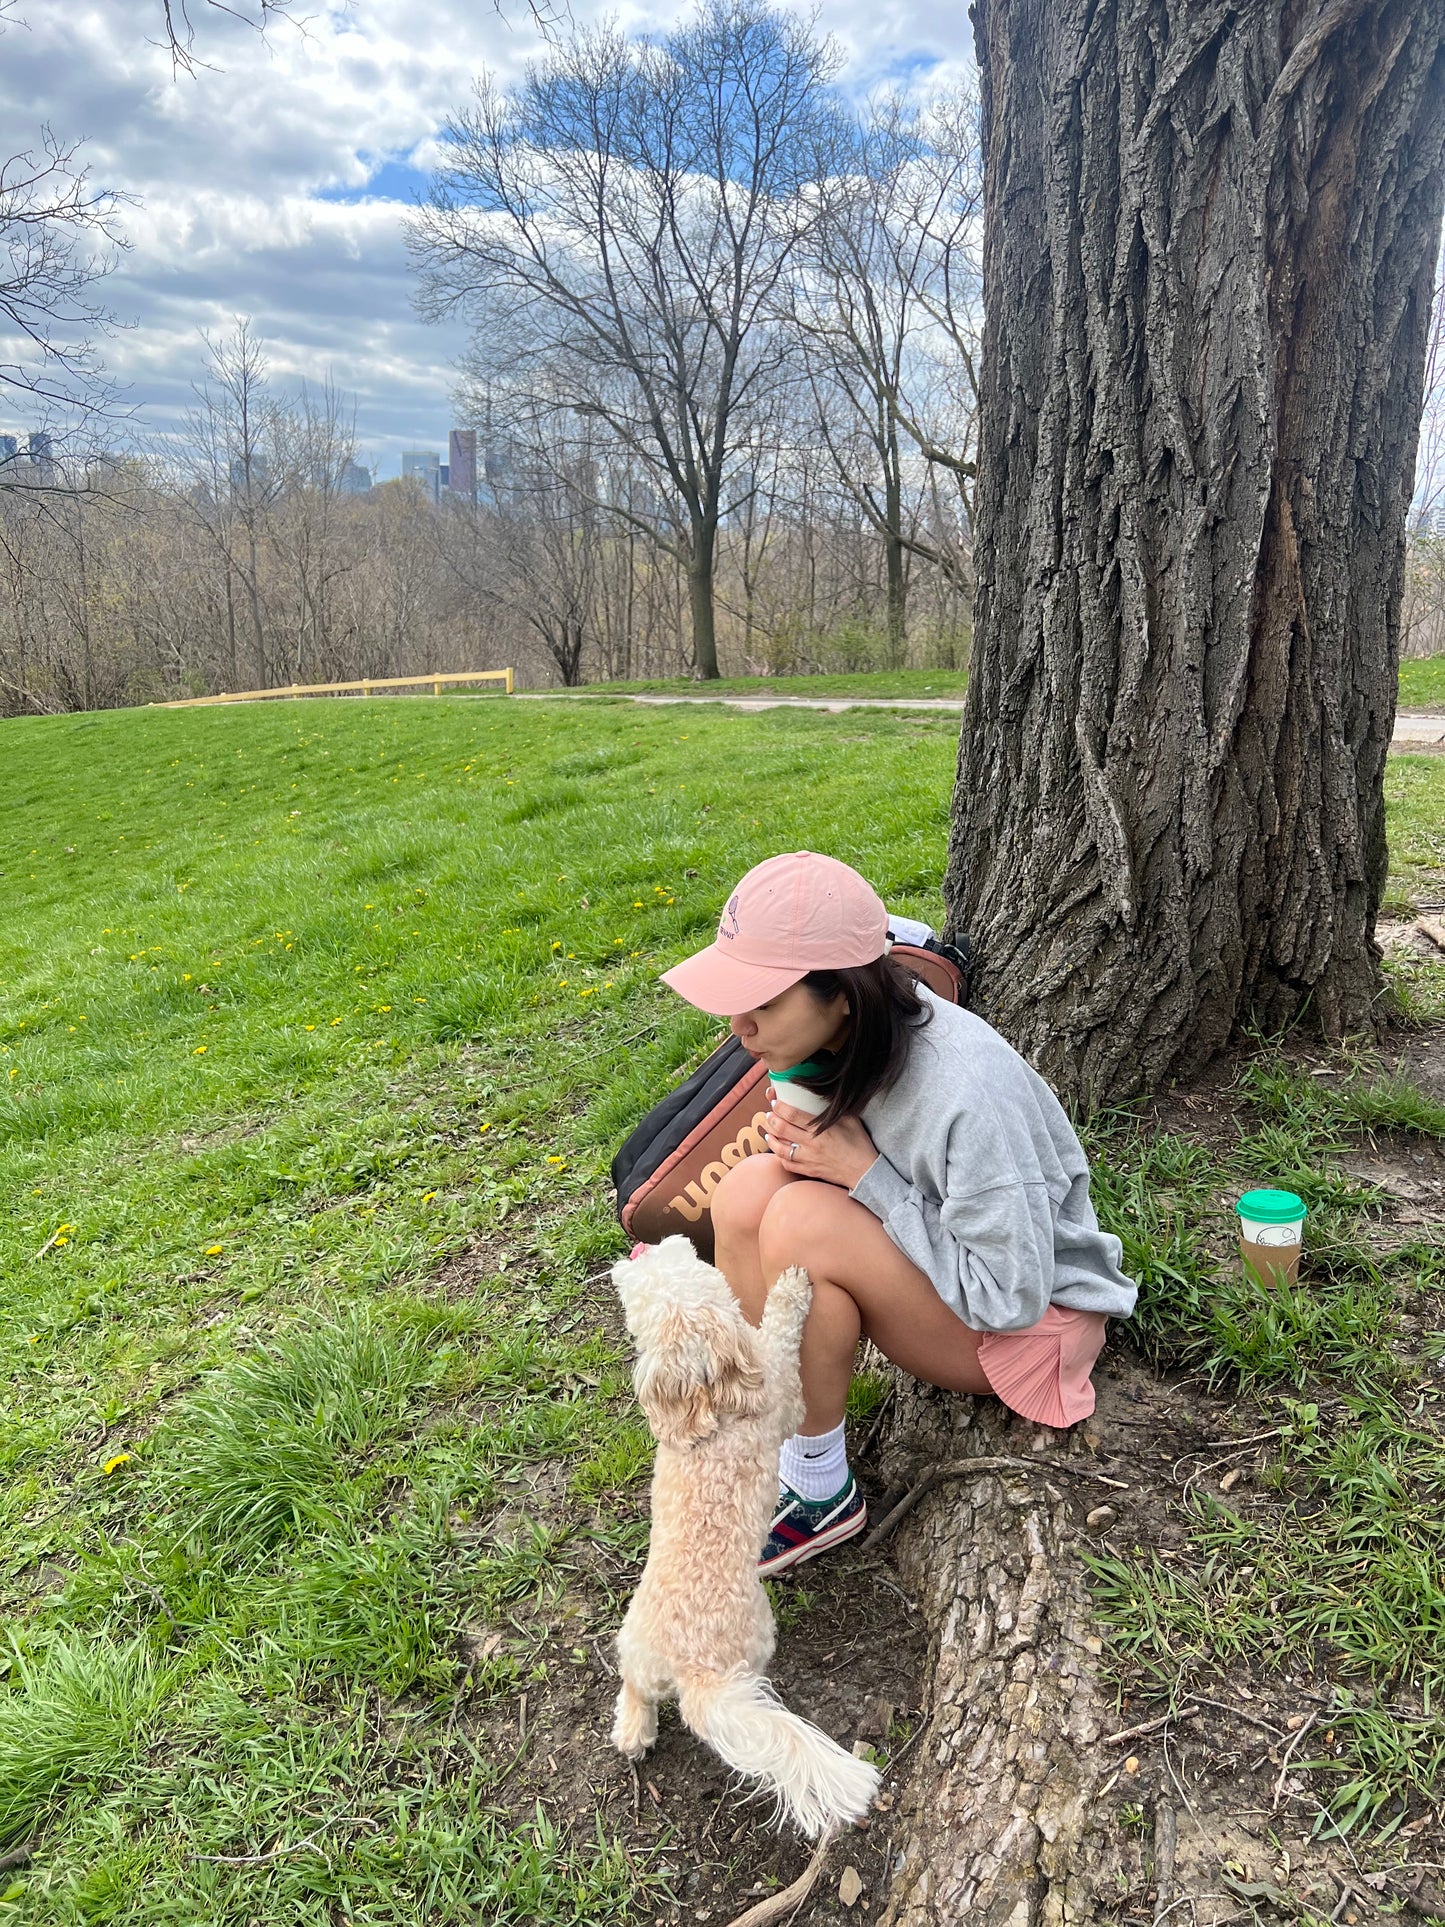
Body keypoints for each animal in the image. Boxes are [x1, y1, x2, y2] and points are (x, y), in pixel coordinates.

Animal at [612, 1233, 882, 1834]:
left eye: (675, 1264)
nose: (640, 1247)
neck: (710, 1403)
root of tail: (690, 1672)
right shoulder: (783, 1388)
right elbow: (779, 1332)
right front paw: (791, 1287)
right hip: (756, 1636)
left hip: (634, 1644)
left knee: (635, 1687)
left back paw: (633, 1730)